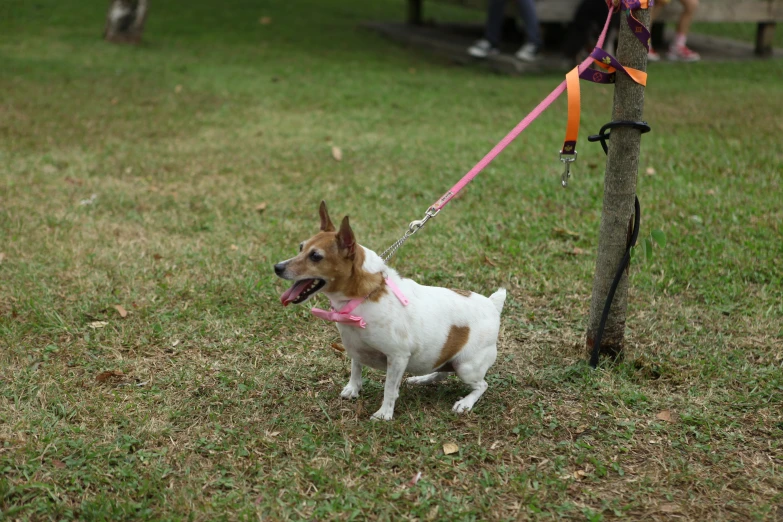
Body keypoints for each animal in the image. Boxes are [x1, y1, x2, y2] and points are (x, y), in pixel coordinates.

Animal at [276, 201, 508, 420]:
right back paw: (423, 378)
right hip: (446, 359)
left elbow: (389, 388)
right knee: (442, 372)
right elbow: (355, 367)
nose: (277, 267)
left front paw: (384, 414)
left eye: (315, 256)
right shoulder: (355, 347)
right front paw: (353, 388)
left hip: (466, 366)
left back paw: (465, 403)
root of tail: (491, 304)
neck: (363, 296)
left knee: (481, 385)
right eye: (300, 247)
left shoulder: (397, 357)